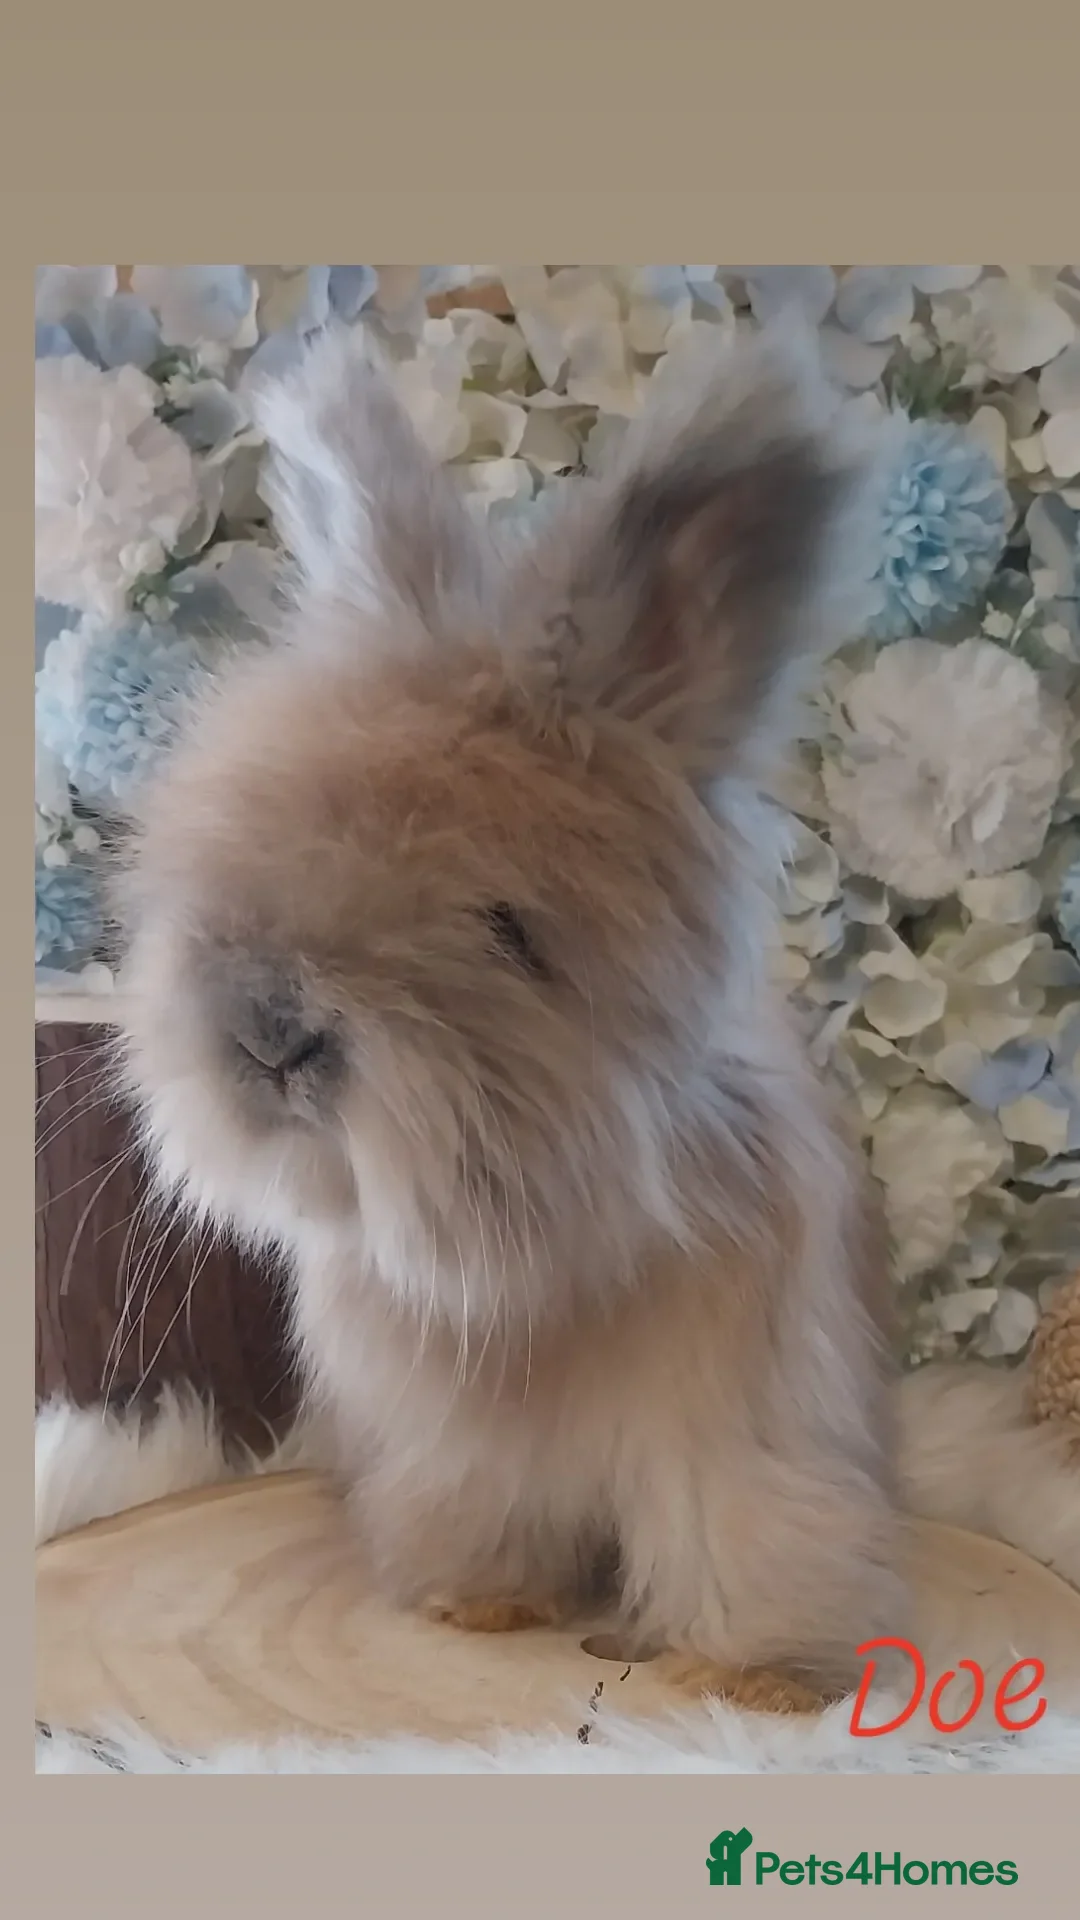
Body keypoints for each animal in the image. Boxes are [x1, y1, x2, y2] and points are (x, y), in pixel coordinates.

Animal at [113, 319, 909, 1715]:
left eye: (507, 931)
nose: (269, 1037)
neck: (532, 1255)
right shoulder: (455, 1447)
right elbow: (481, 1514)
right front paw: (478, 1607)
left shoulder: (742, 1429)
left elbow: (745, 1525)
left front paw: (751, 1679)